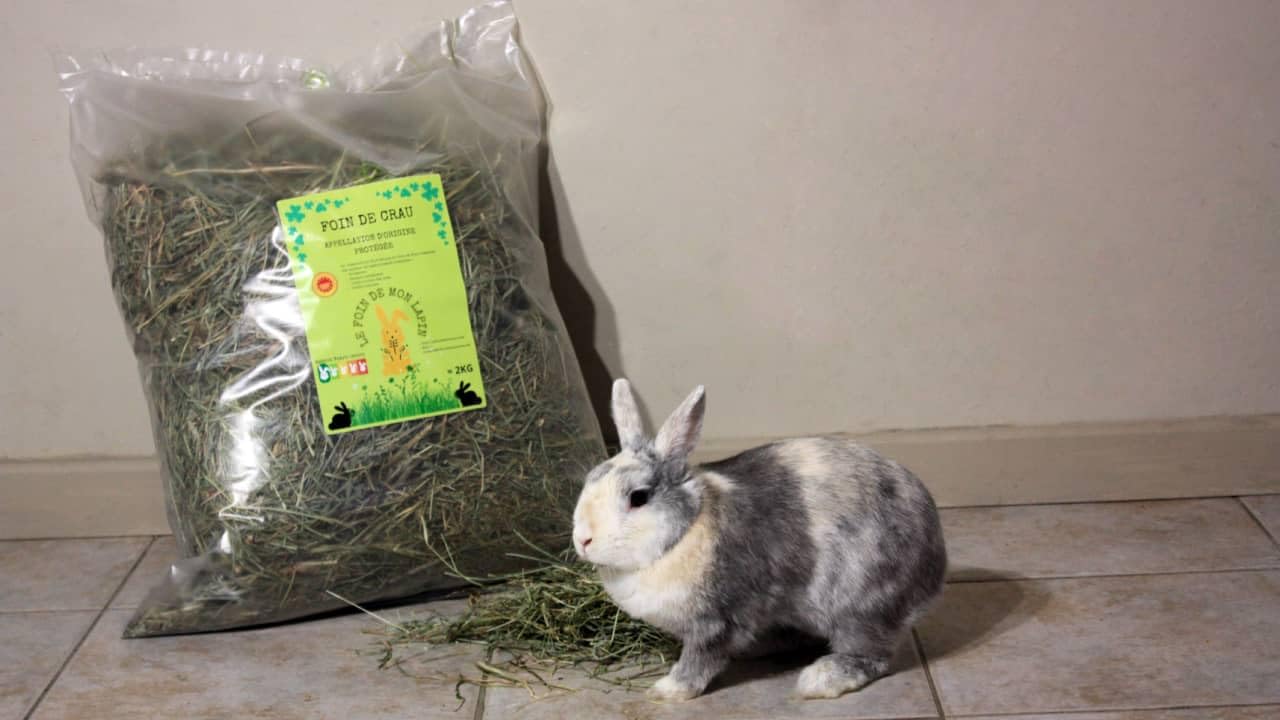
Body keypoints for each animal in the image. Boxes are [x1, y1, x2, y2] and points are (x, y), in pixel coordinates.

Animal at [572, 379, 946, 702]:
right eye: (590, 479)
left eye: (638, 497)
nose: (583, 540)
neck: (684, 533)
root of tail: (935, 561)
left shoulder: (715, 621)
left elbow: (699, 660)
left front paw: (667, 691)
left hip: (861, 606)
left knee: (872, 654)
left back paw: (820, 680)